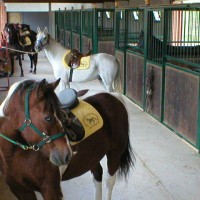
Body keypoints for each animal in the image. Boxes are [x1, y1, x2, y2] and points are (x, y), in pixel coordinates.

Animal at [0, 80, 134, 200]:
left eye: (61, 115)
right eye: (48, 117)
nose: (67, 155)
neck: (14, 155)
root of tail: (113, 96)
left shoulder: (51, 191)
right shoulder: (21, 190)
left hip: (114, 155)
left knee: (109, 182)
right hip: (93, 155)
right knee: (97, 176)